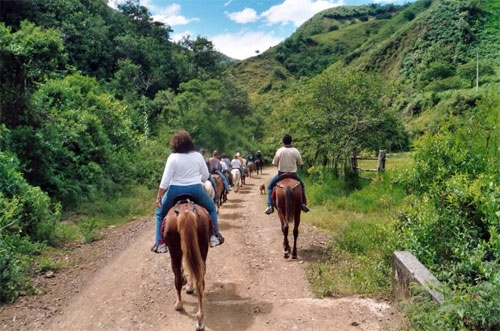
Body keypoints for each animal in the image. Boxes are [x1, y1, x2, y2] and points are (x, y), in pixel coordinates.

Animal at [162, 198, 211, 330]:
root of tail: (186, 212)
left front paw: (187, 284)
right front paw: (189, 285)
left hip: (175, 252)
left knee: (178, 279)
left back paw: (179, 304)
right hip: (201, 249)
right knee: (200, 281)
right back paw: (200, 318)